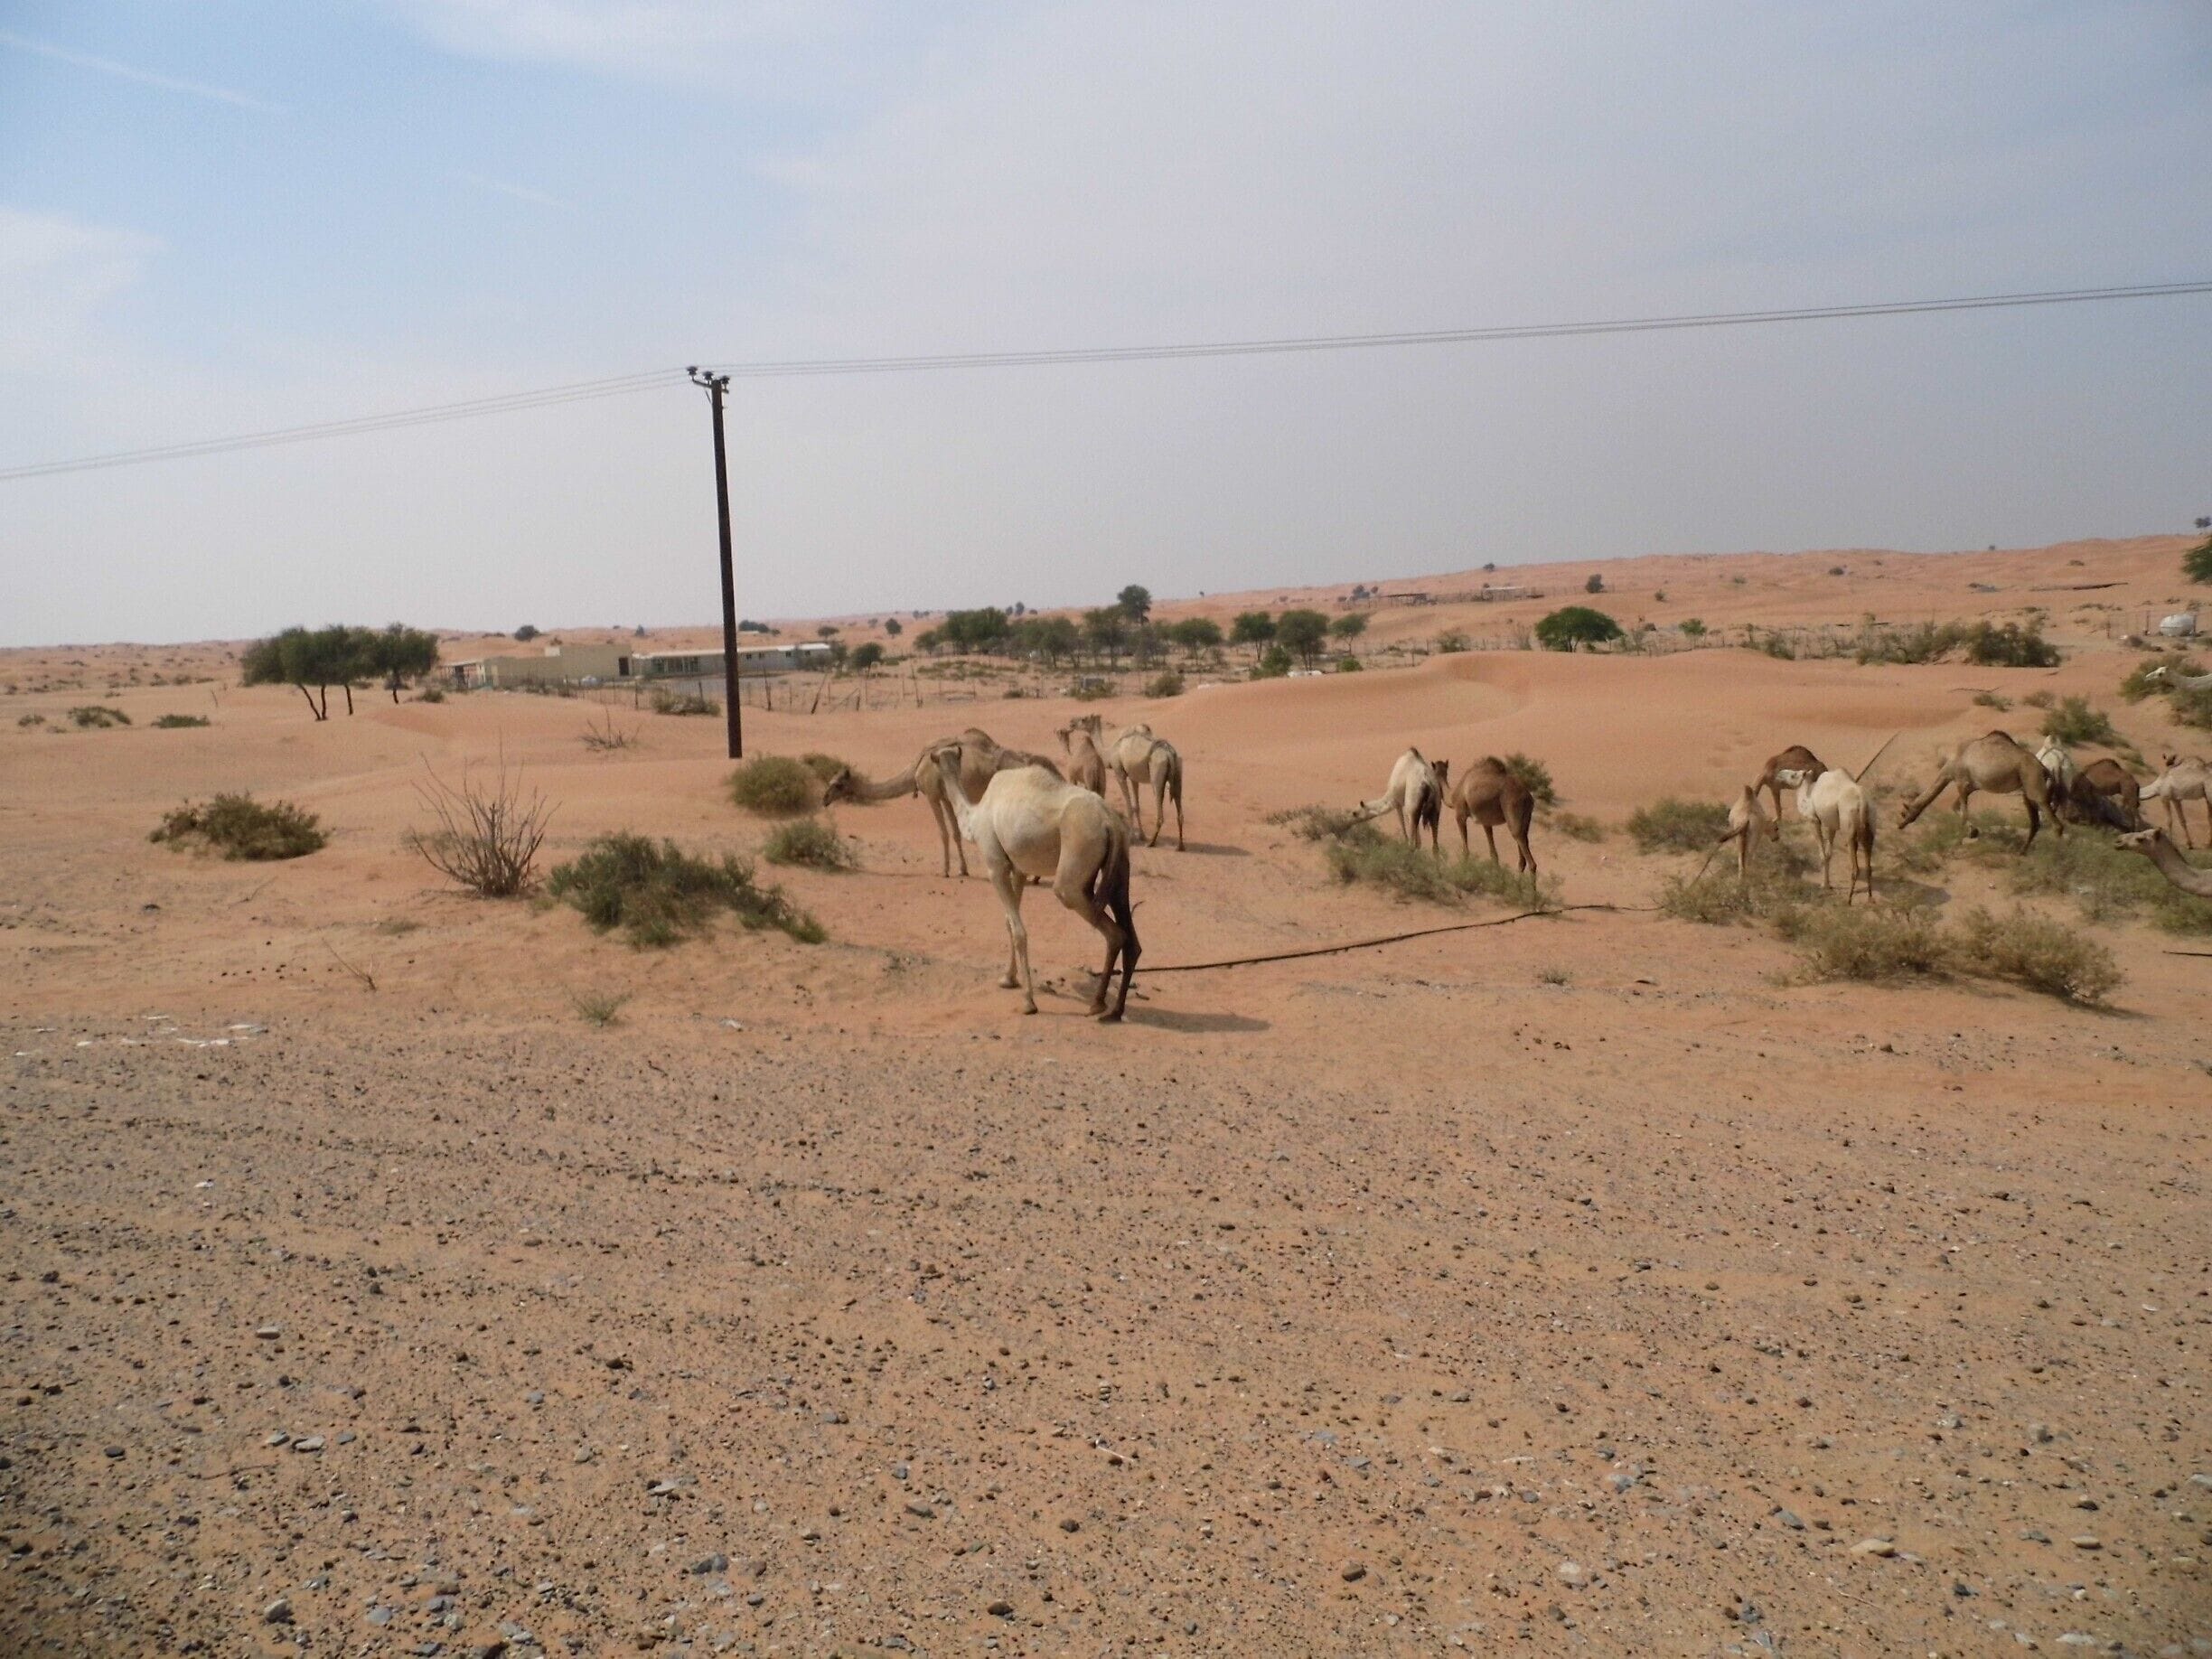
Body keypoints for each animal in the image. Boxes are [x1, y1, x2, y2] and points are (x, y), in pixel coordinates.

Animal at [936, 763, 1140, 1020]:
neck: (975, 814)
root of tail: (1109, 822)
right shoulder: (1019, 869)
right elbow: (1009, 923)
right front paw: (1008, 979)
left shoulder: (996, 865)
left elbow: (1019, 931)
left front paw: (1028, 1001)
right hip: (1120, 863)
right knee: (1130, 933)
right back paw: (1117, 1009)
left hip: (1075, 865)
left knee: (1112, 932)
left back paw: (1098, 1003)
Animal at [1107, 726, 1186, 850]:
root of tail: (1170, 754)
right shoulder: (1134, 777)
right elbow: (1136, 806)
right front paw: (1141, 835)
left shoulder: (1119, 774)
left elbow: (1129, 807)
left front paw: (1131, 839)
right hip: (1178, 771)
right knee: (1179, 810)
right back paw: (1180, 846)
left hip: (1157, 776)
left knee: (1160, 812)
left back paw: (1151, 843)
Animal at [1446, 755, 1537, 873]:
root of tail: (1528, 797)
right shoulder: (1486, 821)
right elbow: (1493, 853)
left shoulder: (1459, 813)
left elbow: (1465, 851)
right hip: (1526, 817)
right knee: (1523, 846)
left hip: (1513, 809)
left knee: (1520, 840)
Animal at [1776, 768, 1875, 902]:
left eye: (1793, 775)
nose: (1779, 774)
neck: (1808, 795)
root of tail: (1862, 803)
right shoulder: (1831, 825)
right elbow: (1829, 855)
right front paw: (1827, 884)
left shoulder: (1814, 820)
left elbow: (1823, 855)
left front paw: (1824, 885)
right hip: (1870, 824)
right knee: (1868, 860)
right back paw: (1870, 897)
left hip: (1849, 825)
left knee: (1855, 865)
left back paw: (1849, 899)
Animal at [1896, 731, 2060, 851]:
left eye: (1903, 813)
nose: (1899, 825)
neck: (1951, 765)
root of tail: (2044, 769)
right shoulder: (1971, 787)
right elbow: (1955, 807)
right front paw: (1973, 832)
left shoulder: (1961, 782)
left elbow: (1963, 813)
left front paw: (1957, 843)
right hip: (2027, 790)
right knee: (2035, 822)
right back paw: (2022, 852)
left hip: (2034, 784)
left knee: (2055, 822)